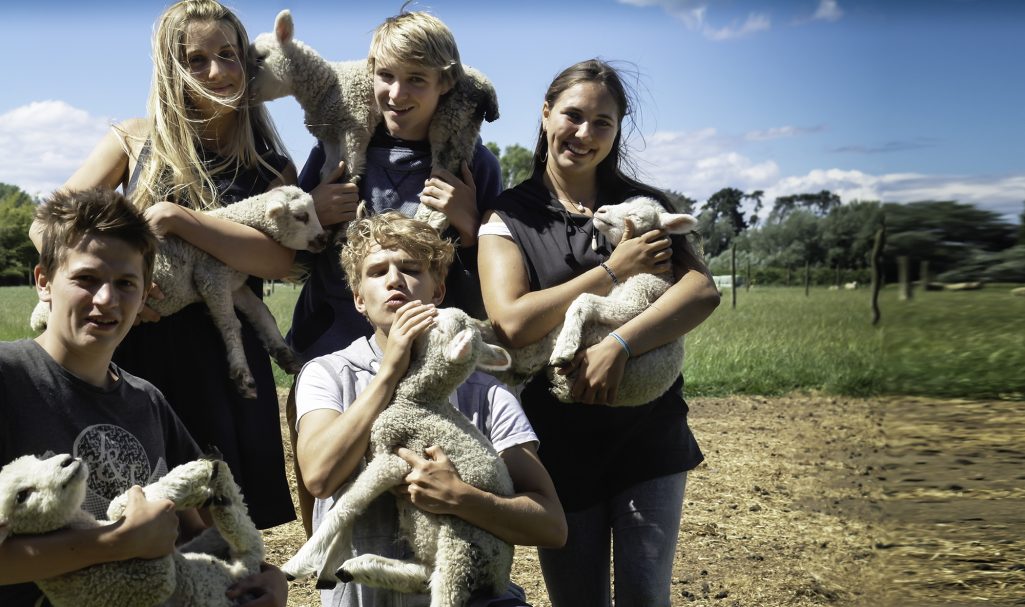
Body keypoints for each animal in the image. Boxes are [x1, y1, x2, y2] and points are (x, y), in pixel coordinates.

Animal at [1, 453, 264, 602]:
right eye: (22, 495)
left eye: (37, 459)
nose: (68, 461)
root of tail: (237, 575)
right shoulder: (148, 575)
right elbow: (122, 508)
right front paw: (190, 474)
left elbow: (116, 506)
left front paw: (195, 492)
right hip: (226, 574)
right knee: (250, 543)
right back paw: (219, 484)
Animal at [29, 187, 328, 399]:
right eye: (301, 216)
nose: (323, 239)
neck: (237, 226)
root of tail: (36, 316)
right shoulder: (212, 277)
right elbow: (231, 325)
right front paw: (243, 376)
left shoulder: (234, 284)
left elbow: (263, 314)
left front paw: (286, 355)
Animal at [252, 11, 500, 234]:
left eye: (260, 57)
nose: (247, 94)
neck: (327, 86)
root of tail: (486, 89)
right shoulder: (330, 135)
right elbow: (329, 171)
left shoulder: (355, 124)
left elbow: (350, 171)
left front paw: (345, 224)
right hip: (464, 124)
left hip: (450, 117)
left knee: (445, 170)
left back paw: (429, 221)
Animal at [280, 307, 516, 607]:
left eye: (438, 325)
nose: (429, 310)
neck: (420, 402)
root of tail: (500, 579)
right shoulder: (376, 455)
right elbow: (350, 496)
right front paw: (329, 564)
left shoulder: (396, 458)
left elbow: (346, 506)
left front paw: (296, 563)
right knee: (426, 575)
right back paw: (356, 567)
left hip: (462, 544)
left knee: (445, 589)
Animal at [485, 197, 697, 408]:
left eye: (636, 216)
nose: (601, 211)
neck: (651, 273)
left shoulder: (641, 299)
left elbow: (584, 299)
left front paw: (564, 348)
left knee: (531, 355)